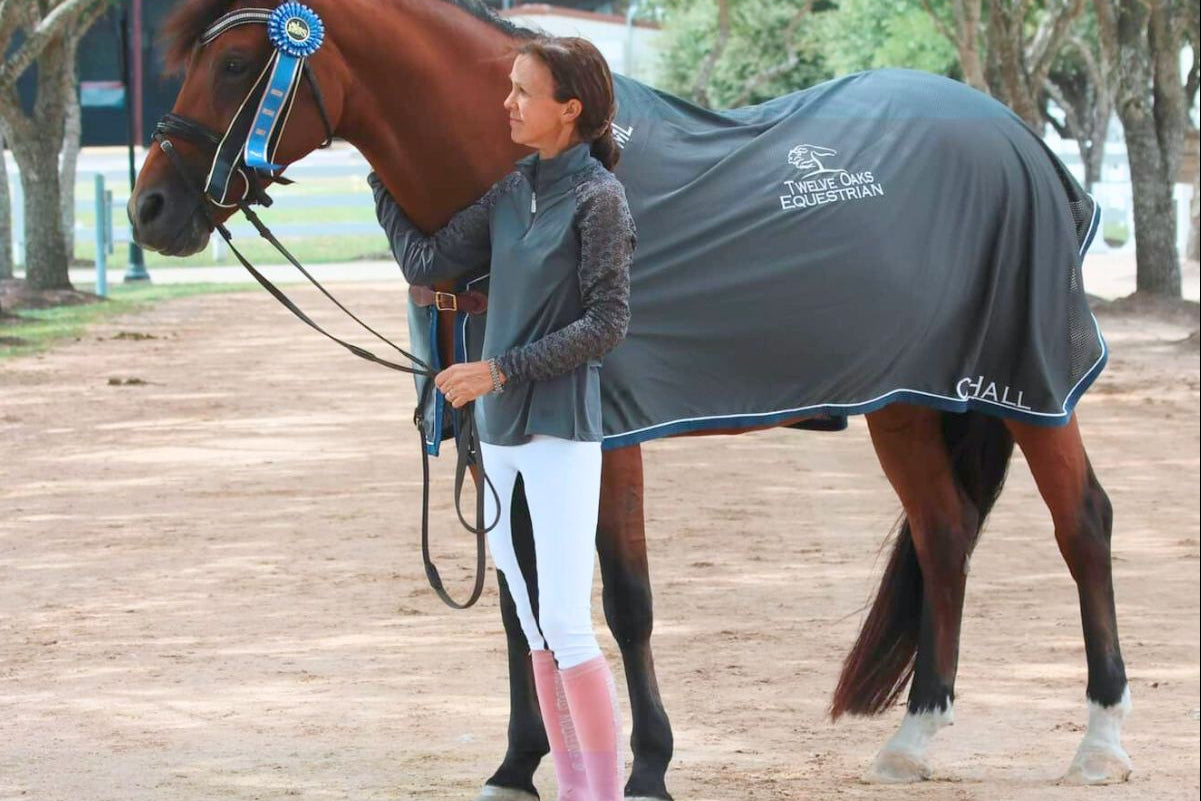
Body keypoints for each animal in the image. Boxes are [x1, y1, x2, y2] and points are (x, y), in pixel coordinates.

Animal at [129, 0, 1133, 797]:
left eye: (235, 63)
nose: (150, 211)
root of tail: (1015, 135)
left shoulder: (607, 438)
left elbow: (626, 598)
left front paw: (647, 765)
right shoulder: (493, 441)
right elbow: (519, 602)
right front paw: (517, 764)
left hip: (1028, 386)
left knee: (1081, 522)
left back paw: (1099, 740)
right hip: (908, 399)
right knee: (942, 532)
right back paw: (916, 735)